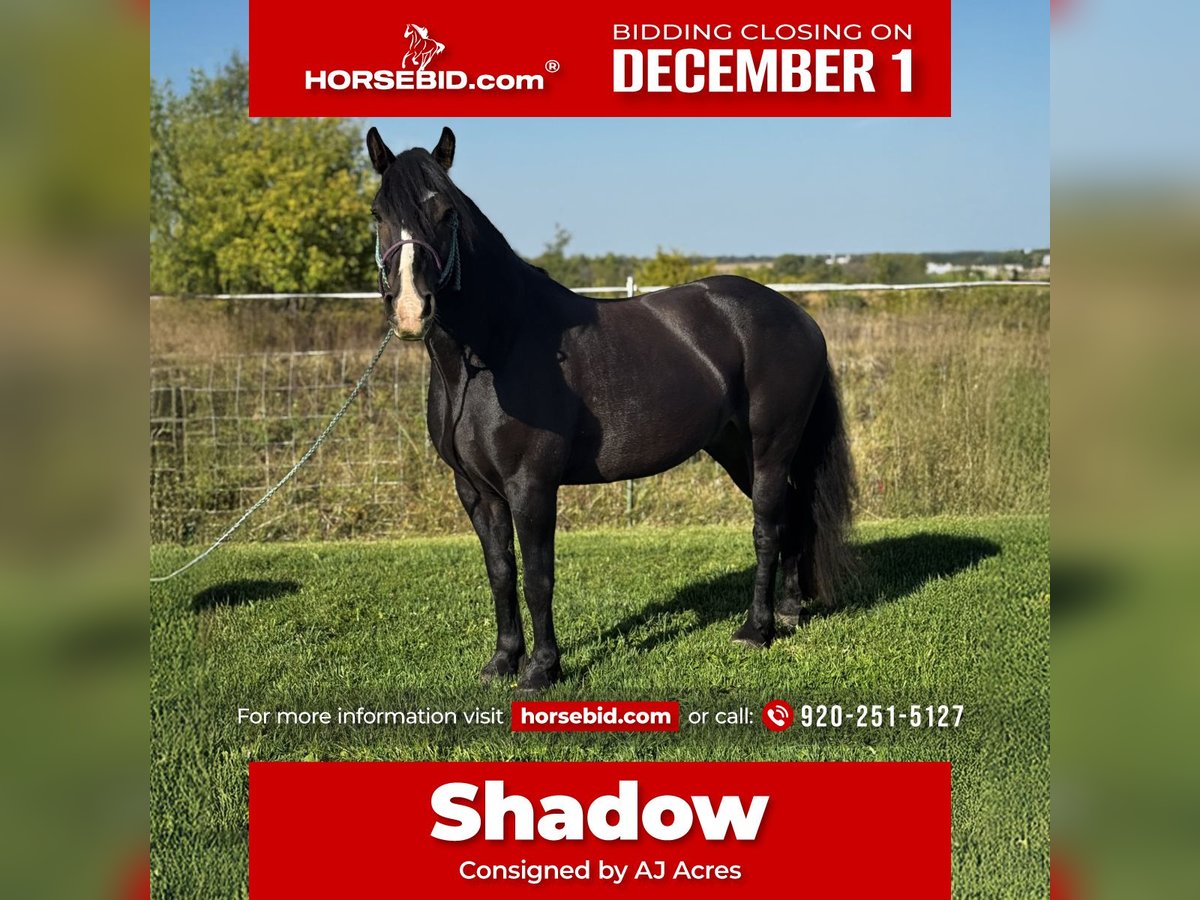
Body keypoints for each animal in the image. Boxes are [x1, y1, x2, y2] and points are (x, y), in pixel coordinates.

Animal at [365, 126, 856, 690]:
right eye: (378, 213)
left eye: (444, 212)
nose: (410, 310)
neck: (496, 350)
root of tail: (798, 316)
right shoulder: (475, 491)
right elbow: (501, 573)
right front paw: (502, 662)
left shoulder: (531, 487)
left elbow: (539, 578)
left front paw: (541, 670)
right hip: (738, 450)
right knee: (793, 516)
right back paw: (791, 613)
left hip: (772, 448)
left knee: (767, 528)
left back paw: (756, 629)